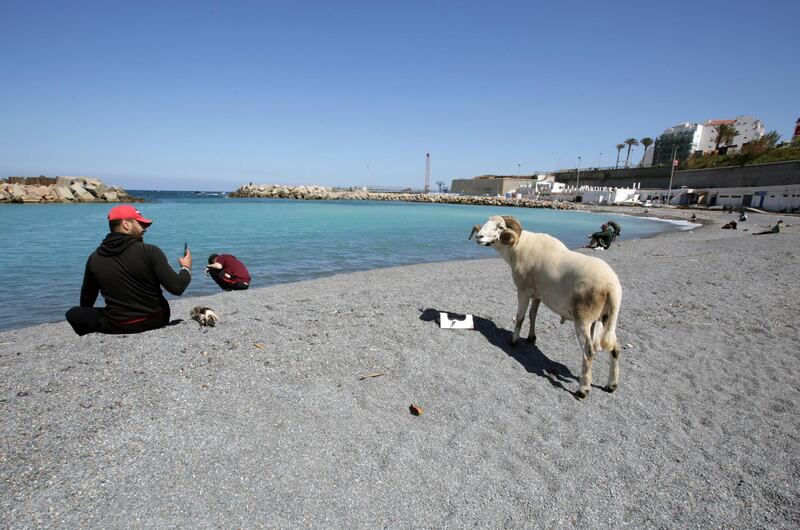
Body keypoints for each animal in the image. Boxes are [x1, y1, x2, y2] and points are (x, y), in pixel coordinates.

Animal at [472, 214, 620, 396]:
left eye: (500, 227)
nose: (479, 237)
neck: (519, 248)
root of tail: (612, 286)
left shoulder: (523, 291)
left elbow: (520, 317)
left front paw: (513, 341)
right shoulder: (538, 295)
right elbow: (532, 315)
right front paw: (531, 338)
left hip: (583, 318)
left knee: (589, 352)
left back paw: (583, 389)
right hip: (605, 317)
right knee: (615, 348)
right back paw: (611, 385)